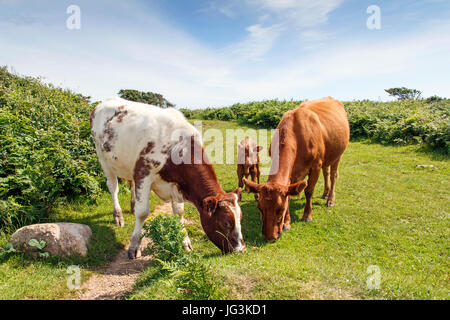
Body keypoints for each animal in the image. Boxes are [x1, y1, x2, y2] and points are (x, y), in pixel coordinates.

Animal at [91, 96, 244, 258]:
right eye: (225, 223)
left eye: (240, 218)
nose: (241, 249)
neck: (176, 148)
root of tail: (105, 101)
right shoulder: (143, 172)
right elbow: (142, 212)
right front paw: (134, 246)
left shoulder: (176, 183)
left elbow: (179, 212)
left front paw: (185, 242)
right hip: (102, 157)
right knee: (113, 187)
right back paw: (118, 216)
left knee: (131, 184)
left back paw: (132, 206)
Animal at [244, 96, 350, 241]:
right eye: (259, 208)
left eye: (280, 209)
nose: (269, 236)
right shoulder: (291, 173)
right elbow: (289, 194)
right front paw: (286, 223)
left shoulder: (316, 165)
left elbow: (309, 191)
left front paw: (307, 215)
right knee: (326, 172)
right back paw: (325, 193)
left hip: (338, 155)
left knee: (333, 176)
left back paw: (330, 199)